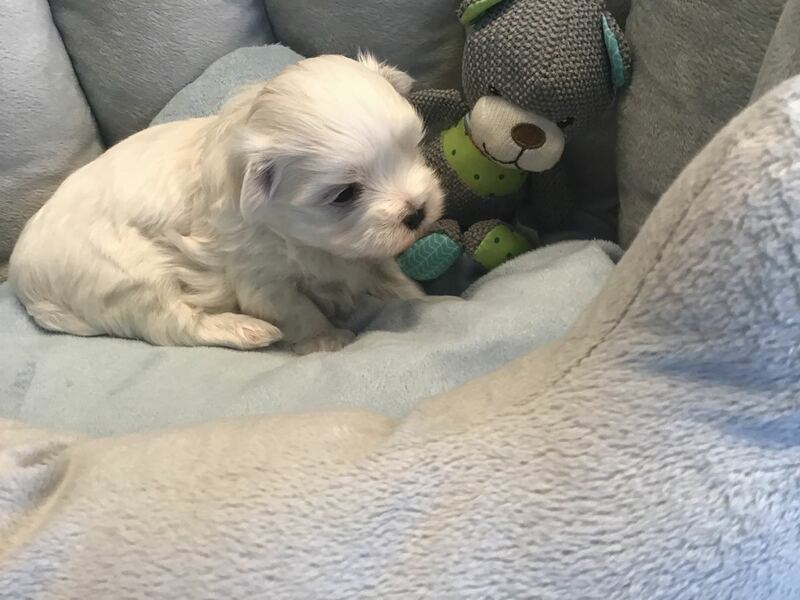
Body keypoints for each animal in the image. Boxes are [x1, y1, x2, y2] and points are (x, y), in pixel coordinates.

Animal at [8, 54, 444, 354]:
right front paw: (326, 339)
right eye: (345, 193)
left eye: (413, 147)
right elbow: (298, 309)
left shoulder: (358, 253)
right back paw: (246, 330)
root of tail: (21, 279)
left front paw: (427, 298)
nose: (417, 212)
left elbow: (387, 273)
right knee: (174, 324)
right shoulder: (260, 279)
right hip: (130, 278)